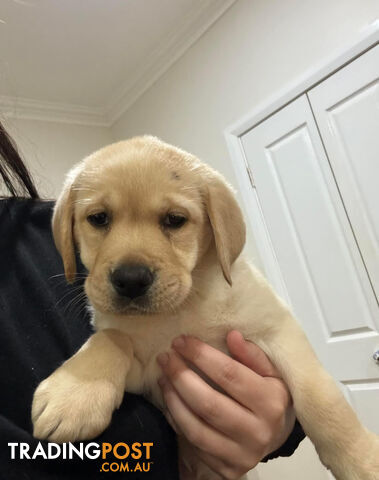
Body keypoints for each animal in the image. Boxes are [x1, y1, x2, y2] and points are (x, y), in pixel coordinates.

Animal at [32, 137, 379, 478]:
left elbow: (320, 397)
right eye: (99, 218)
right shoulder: (148, 377)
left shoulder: (278, 328)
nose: (130, 280)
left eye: (175, 220)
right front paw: (74, 395)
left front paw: (361, 459)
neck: (183, 308)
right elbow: (111, 338)